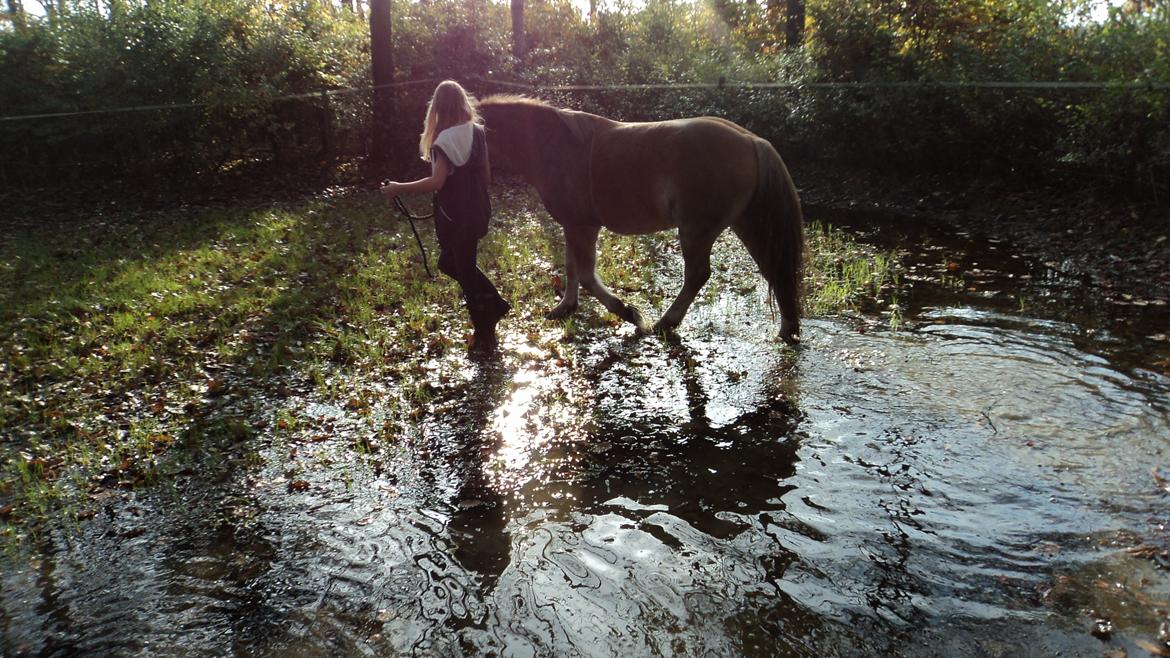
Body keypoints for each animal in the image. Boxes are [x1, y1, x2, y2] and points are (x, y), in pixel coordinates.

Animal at [475, 98, 804, 344]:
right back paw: (787, 328)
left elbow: (586, 275)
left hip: (696, 230)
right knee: (773, 268)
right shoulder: (572, 224)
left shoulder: (584, 227)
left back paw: (666, 322)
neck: (555, 145)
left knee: (697, 275)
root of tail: (751, 140)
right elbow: (571, 269)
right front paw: (565, 307)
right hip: (745, 224)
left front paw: (628, 313)